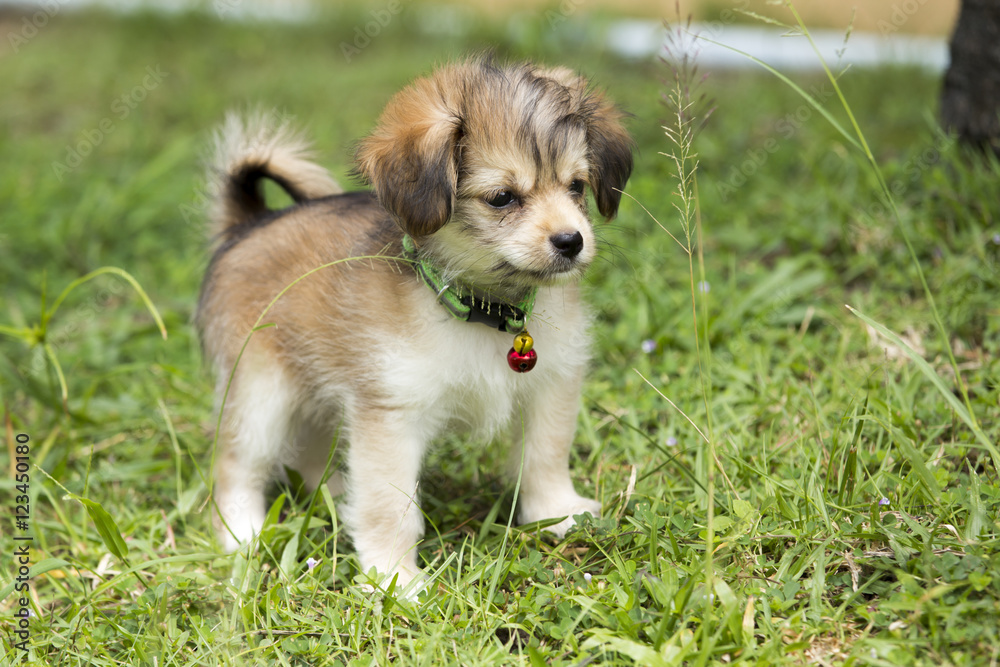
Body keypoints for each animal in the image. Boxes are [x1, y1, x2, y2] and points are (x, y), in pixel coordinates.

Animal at [196, 56, 632, 588]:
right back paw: (243, 532)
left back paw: (336, 496)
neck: (483, 311)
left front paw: (558, 514)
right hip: (264, 394)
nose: (571, 241)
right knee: (236, 464)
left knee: (308, 452)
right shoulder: (391, 412)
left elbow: (545, 456)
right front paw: (394, 580)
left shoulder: (551, 385)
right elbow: (390, 506)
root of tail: (248, 224)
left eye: (576, 186)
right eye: (502, 198)